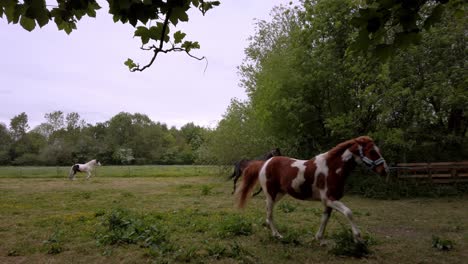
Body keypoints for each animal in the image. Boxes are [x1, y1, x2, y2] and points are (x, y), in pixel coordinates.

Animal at [238, 137, 388, 242]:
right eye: (372, 151)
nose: (385, 171)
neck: (331, 169)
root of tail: (265, 163)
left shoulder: (329, 202)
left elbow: (325, 218)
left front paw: (319, 238)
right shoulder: (329, 199)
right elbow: (348, 212)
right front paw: (358, 238)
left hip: (278, 193)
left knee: (268, 210)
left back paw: (268, 226)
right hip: (271, 193)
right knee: (270, 213)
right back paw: (277, 235)